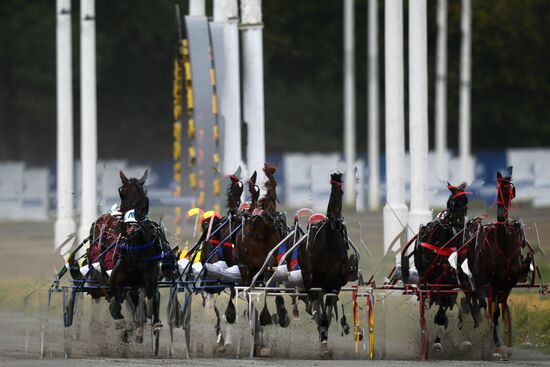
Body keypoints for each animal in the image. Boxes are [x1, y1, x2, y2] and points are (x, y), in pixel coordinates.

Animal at [300, 173, 360, 360]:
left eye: (341, 192)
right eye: (330, 191)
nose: (335, 221)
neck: (330, 244)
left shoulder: (334, 286)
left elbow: (327, 316)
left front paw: (325, 344)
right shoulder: (317, 284)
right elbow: (321, 316)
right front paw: (324, 347)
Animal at [468, 167, 536, 360]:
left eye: (510, 190)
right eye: (497, 189)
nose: (500, 214)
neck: (502, 243)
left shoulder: (508, 283)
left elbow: (499, 310)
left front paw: (500, 344)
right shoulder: (491, 281)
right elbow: (490, 310)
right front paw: (493, 342)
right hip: (479, 281)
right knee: (479, 305)